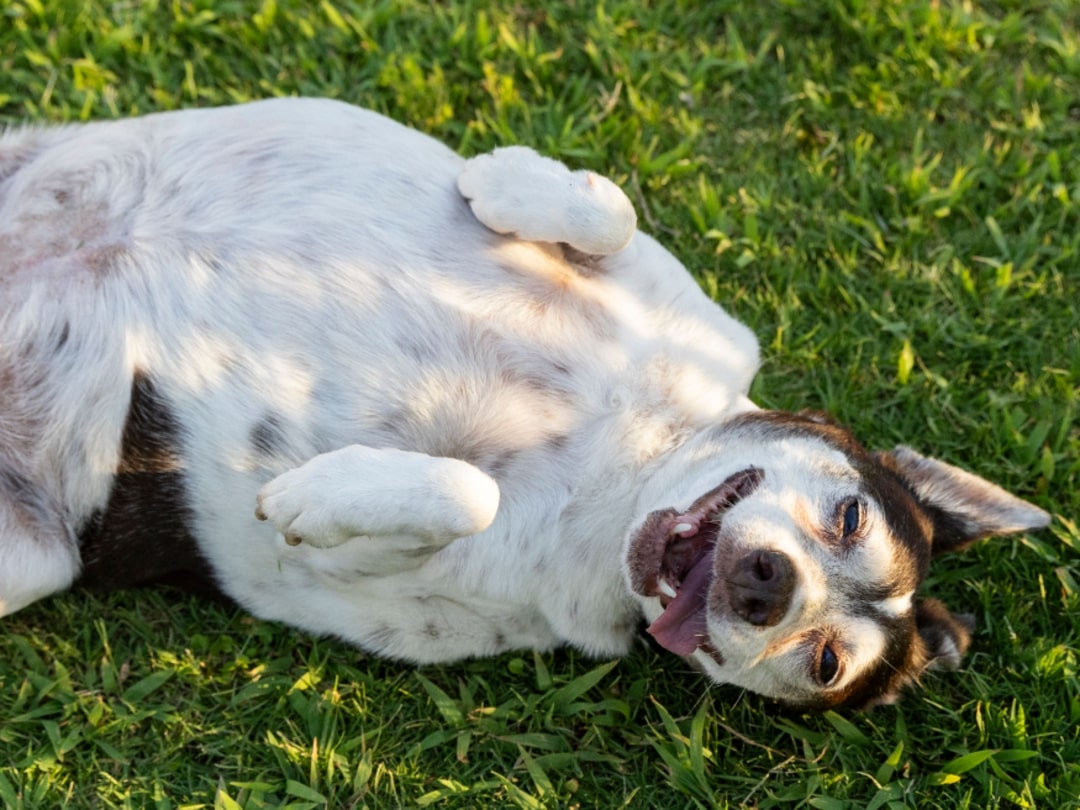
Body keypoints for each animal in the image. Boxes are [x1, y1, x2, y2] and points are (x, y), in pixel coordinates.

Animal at [0, 99, 1045, 708]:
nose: (766, 586)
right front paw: (503, 177)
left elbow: (467, 492)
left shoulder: (366, 581)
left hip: (35, 560)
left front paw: (321, 496)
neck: (628, 464)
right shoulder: (691, 309)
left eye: (824, 661)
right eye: (848, 514)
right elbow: (612, 210)